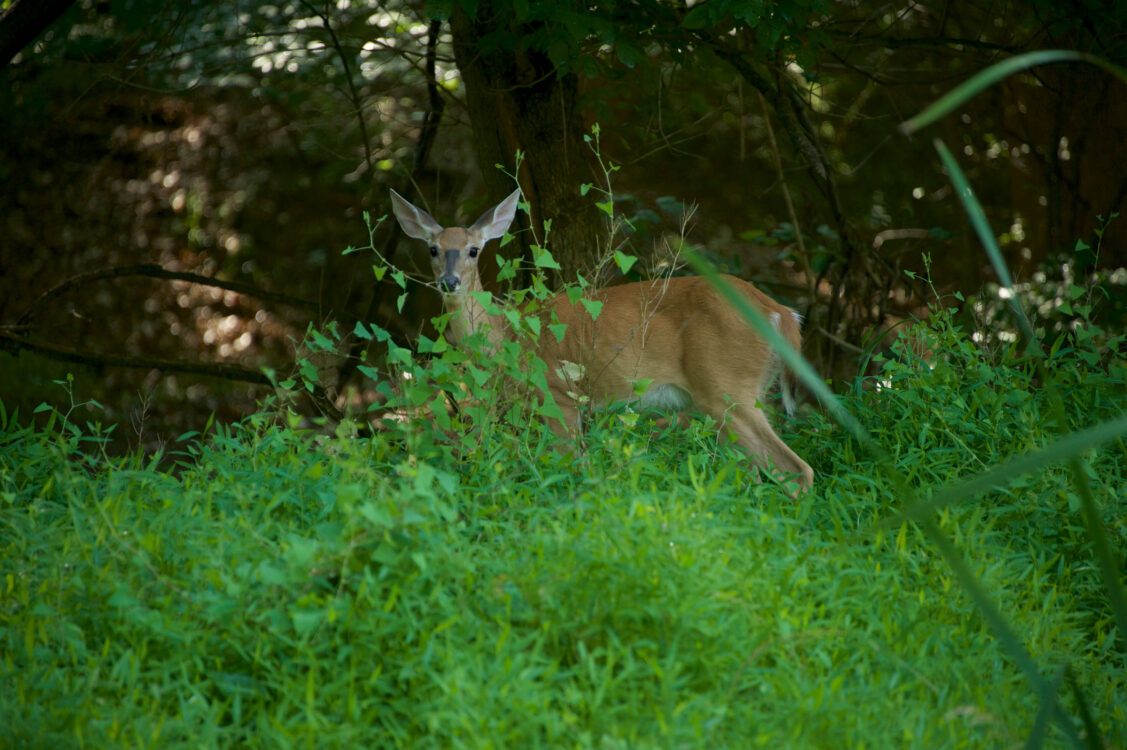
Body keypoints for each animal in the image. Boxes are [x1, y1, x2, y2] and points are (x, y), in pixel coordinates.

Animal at [392, 187, 815, 491]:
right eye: (433, 249)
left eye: (473, 250)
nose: (449, 282)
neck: (508, 335)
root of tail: (782, 313)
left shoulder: (559, 395)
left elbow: (571, 463)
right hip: (739, 396)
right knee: (758, 471)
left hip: (726, 387)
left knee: (797, 469)